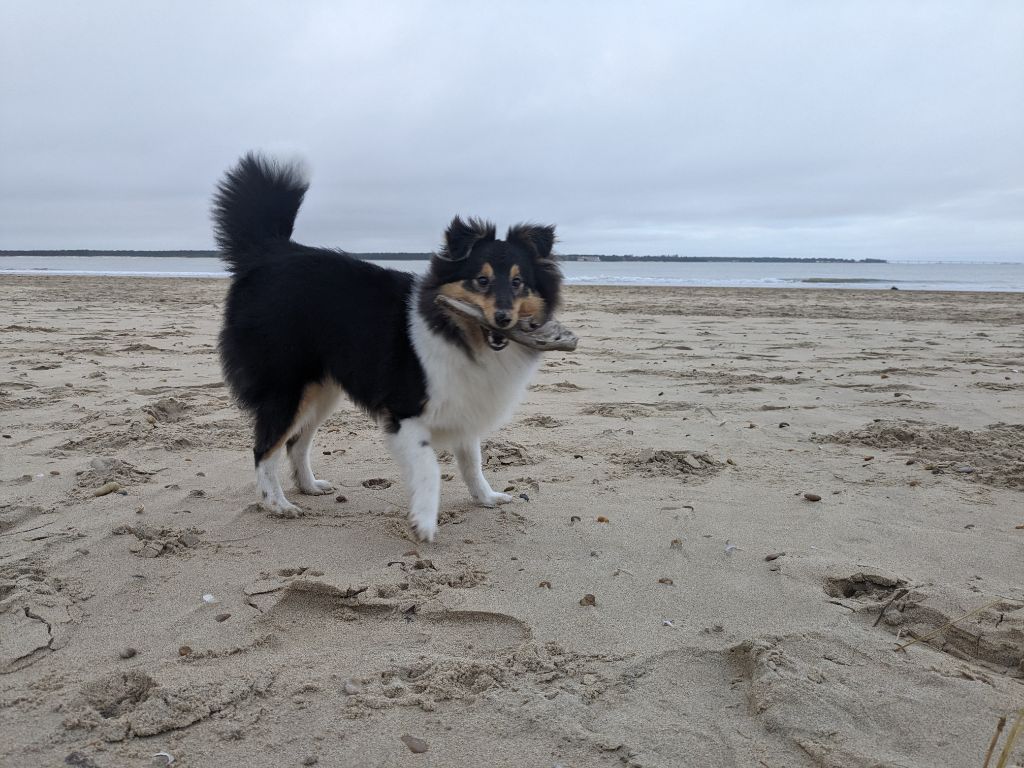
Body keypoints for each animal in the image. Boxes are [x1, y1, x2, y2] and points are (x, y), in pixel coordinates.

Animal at [208, 153, 561, 540]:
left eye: (518, 282)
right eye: (481, 280)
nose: (502, 319)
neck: (455, 331)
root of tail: (269, 251)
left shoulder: (463, 400)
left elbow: (472, 460)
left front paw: (486, 497)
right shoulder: (405, 412)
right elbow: (430, 468)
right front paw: (424, 521)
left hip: (321, 390)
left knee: (296, 443)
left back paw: (309, 486)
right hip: (286, 389)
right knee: (264, 448)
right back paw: (277, 504)